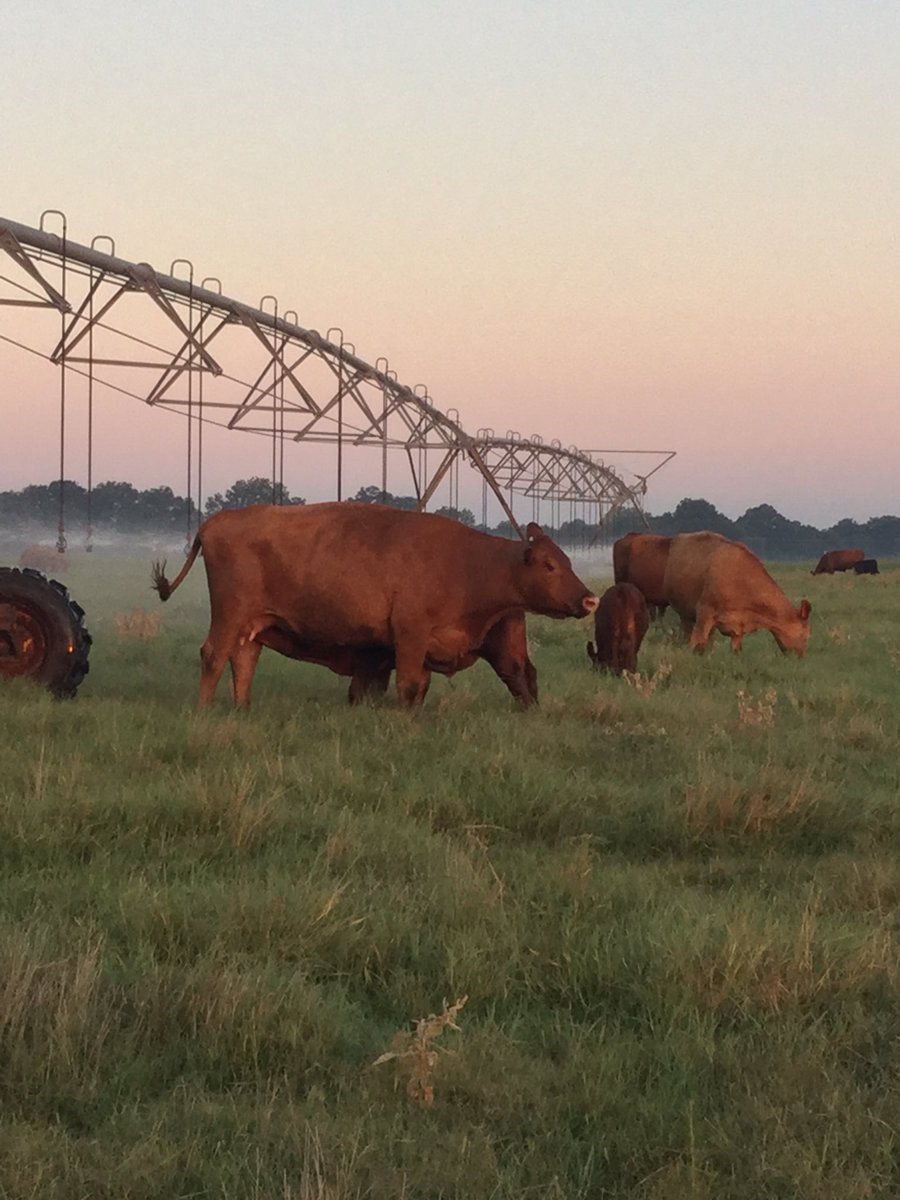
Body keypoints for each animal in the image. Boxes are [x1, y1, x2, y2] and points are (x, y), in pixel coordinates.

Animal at [151, 502, 597, 709]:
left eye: (567, 560)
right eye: (549, 564)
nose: (589, 598)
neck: (470, 564)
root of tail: (215, 522)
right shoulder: (411, 636)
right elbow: (410, 686)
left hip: (253, 626)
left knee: (242, 661)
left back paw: (242, 709)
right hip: (229, 616)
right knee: (213, 656)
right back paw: (204, 710)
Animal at [662, 531, 811, 656]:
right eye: (806, 636)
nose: (802, 657)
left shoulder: (738, 627)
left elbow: (734, 651)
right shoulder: (704, 613)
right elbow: (695, 642)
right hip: (685, 614)